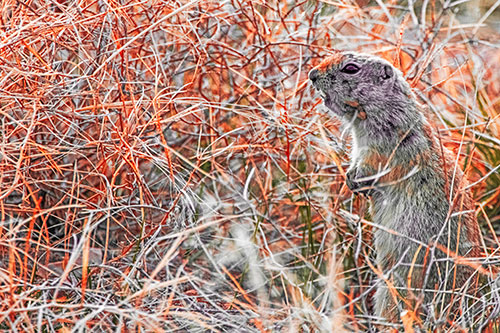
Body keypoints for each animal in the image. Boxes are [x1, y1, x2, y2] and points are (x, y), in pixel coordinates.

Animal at [308, 51, 484, 322]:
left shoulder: (382, 149)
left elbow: (372, 167)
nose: (312, 74)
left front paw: (356, 180)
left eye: (351, 68)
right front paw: (349, 177)